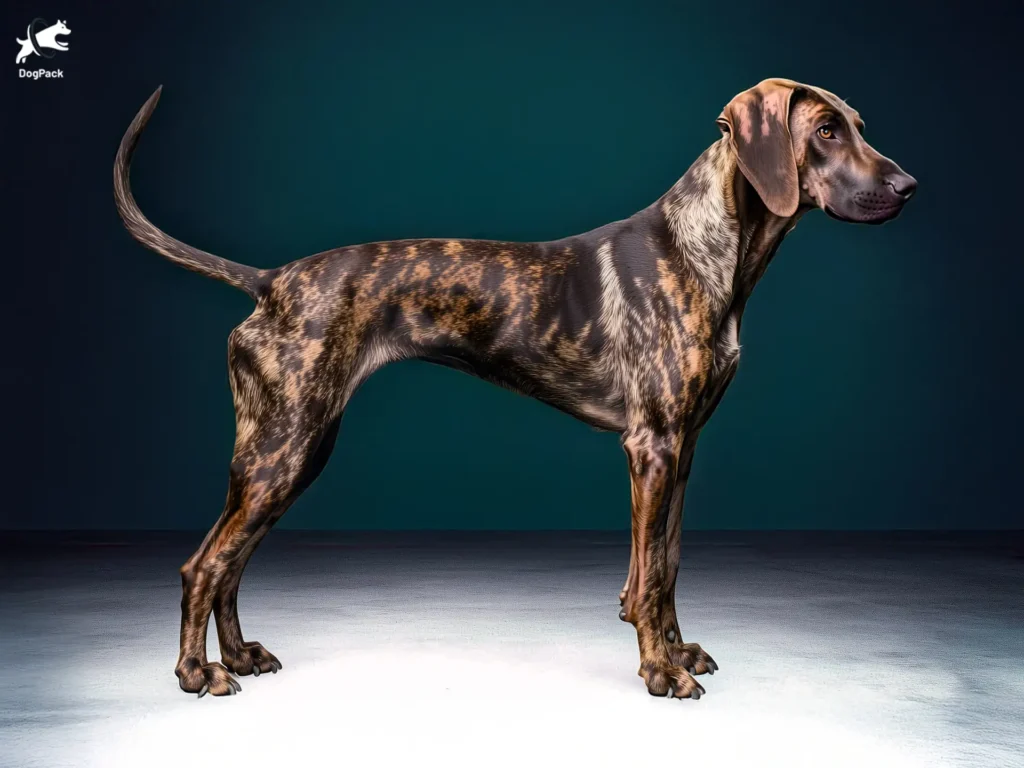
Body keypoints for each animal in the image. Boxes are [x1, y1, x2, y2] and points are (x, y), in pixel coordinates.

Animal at [114, 79, 921, 704]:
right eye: (825, 130)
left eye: (858, 126)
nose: (909, 187)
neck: (709, 251)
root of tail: (270, 280)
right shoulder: (652, 447)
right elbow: (648, 579)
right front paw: (660, 672)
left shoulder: (686, 448)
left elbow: (667, 565)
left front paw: (677, 650)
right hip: (283, 450)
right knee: (204, 564)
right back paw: (197, 673)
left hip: (291, 455)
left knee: (230, 564)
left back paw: (239, 655)